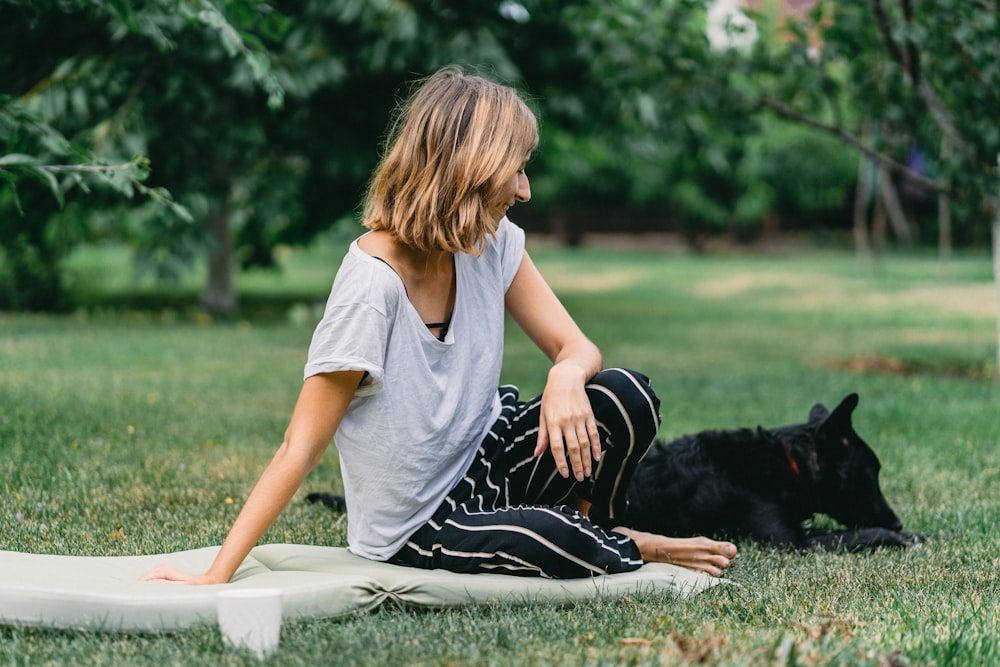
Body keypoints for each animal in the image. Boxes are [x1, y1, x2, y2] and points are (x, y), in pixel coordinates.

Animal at [624, 394, 920, 552]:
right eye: (869, 476)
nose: (897, 523)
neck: (791, 464)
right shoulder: (792, 543)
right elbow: (863, 533)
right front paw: (898, 537)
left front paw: (919, 535)